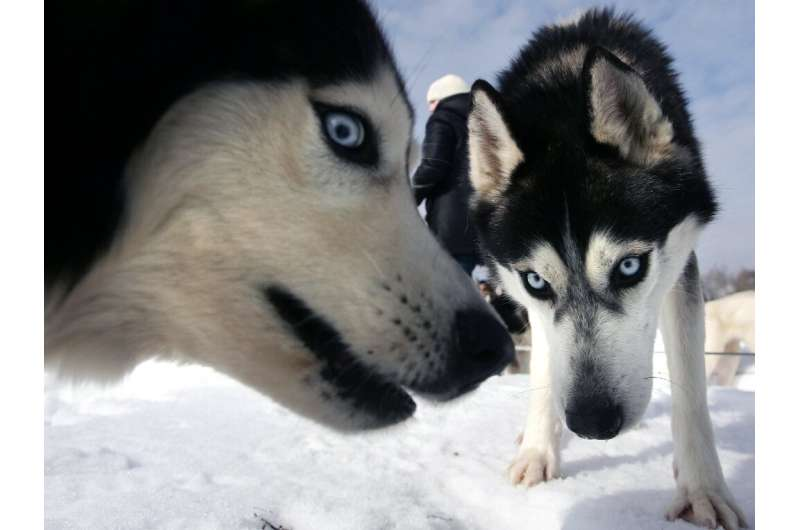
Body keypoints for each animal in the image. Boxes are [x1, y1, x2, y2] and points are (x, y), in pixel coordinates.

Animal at [468, 9, 752, 528]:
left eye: (629, 267)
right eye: (536, 281)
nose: (593, 424)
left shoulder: (680, 270)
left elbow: (690, 391)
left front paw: (703, 490)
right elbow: (544, 368)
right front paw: (538, 450)